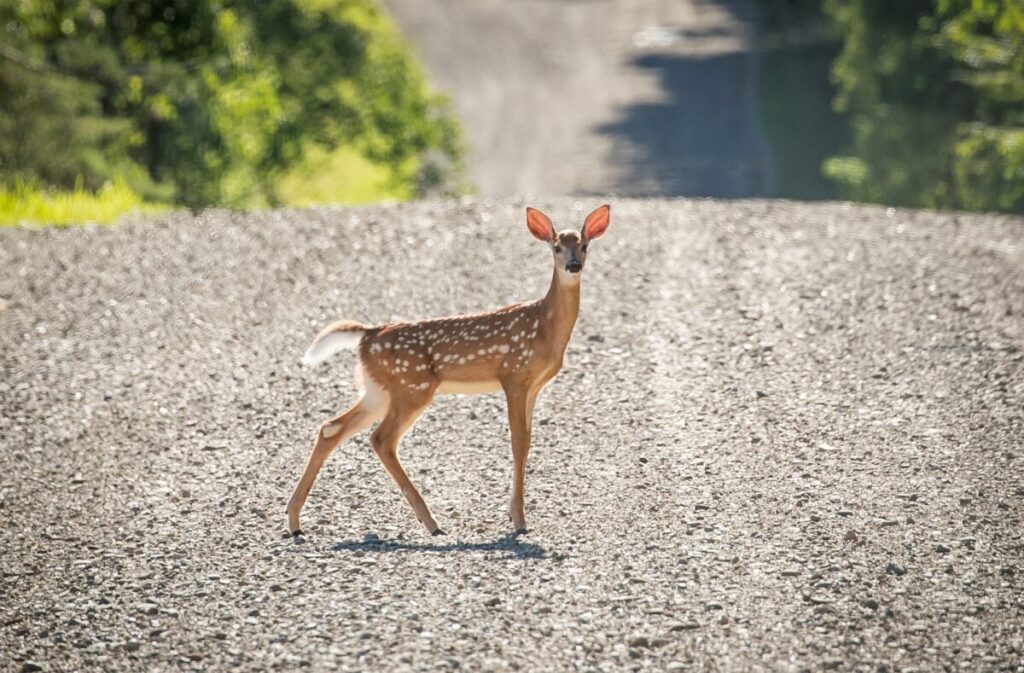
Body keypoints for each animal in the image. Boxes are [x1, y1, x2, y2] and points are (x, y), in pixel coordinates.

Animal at [287, 204, 611, 538]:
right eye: (556, 247)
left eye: (584, 245)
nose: (573, 265)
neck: (544, 327)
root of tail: (367, 334)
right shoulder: (513, 376)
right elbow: (518, 441)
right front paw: (519, 520)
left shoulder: (534, 385)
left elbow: (528, 439)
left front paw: (514, 513)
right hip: (411, 387)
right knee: (381, 439)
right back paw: (431, 522)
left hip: (378, 390)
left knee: (331, 428)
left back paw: (295, 521)